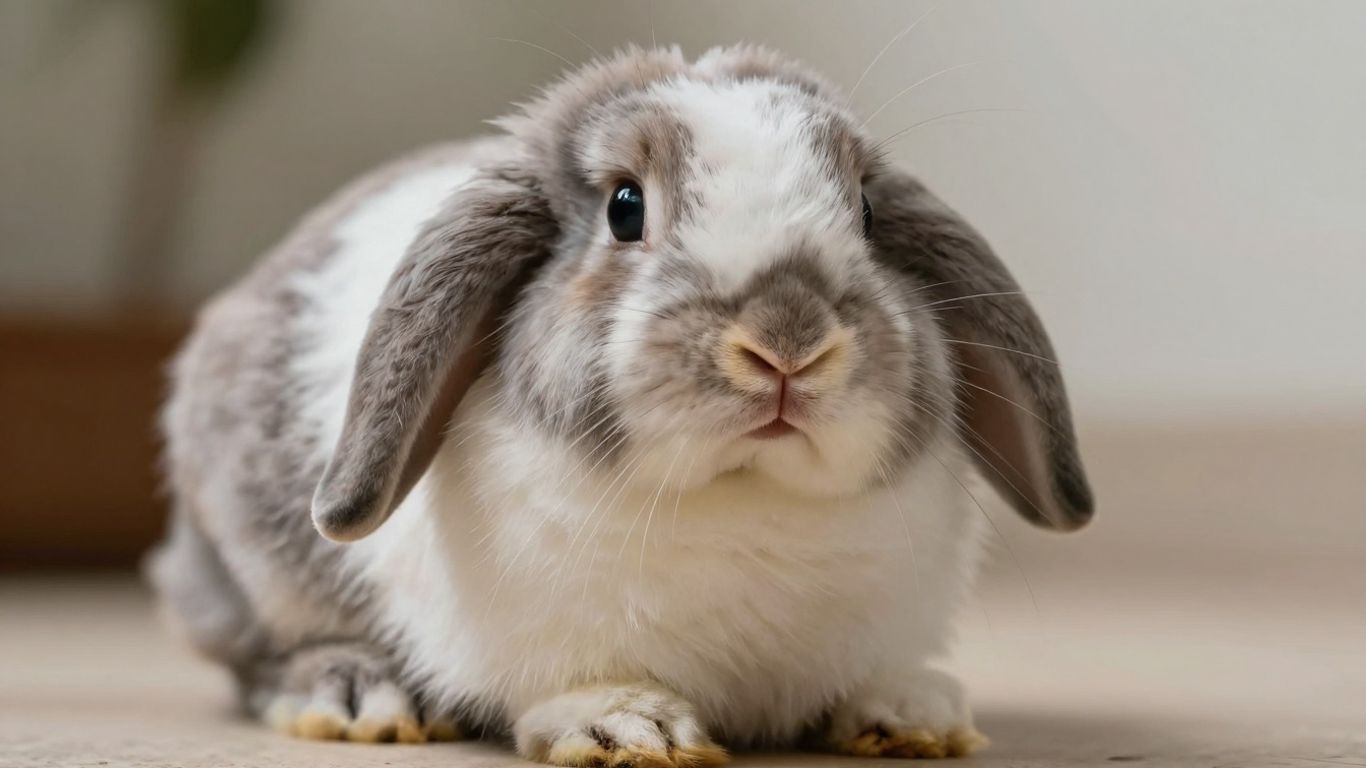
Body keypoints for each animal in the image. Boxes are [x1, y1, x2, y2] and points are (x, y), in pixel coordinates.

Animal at [147, 44, 1093, 766]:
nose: (789, 342)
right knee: (262, 656)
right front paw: (631, 730)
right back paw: (359, 701)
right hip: (252, 565)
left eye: (864, 210)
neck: (744, 493)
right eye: (625, 208)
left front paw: (911, 716)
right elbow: (578, 684)